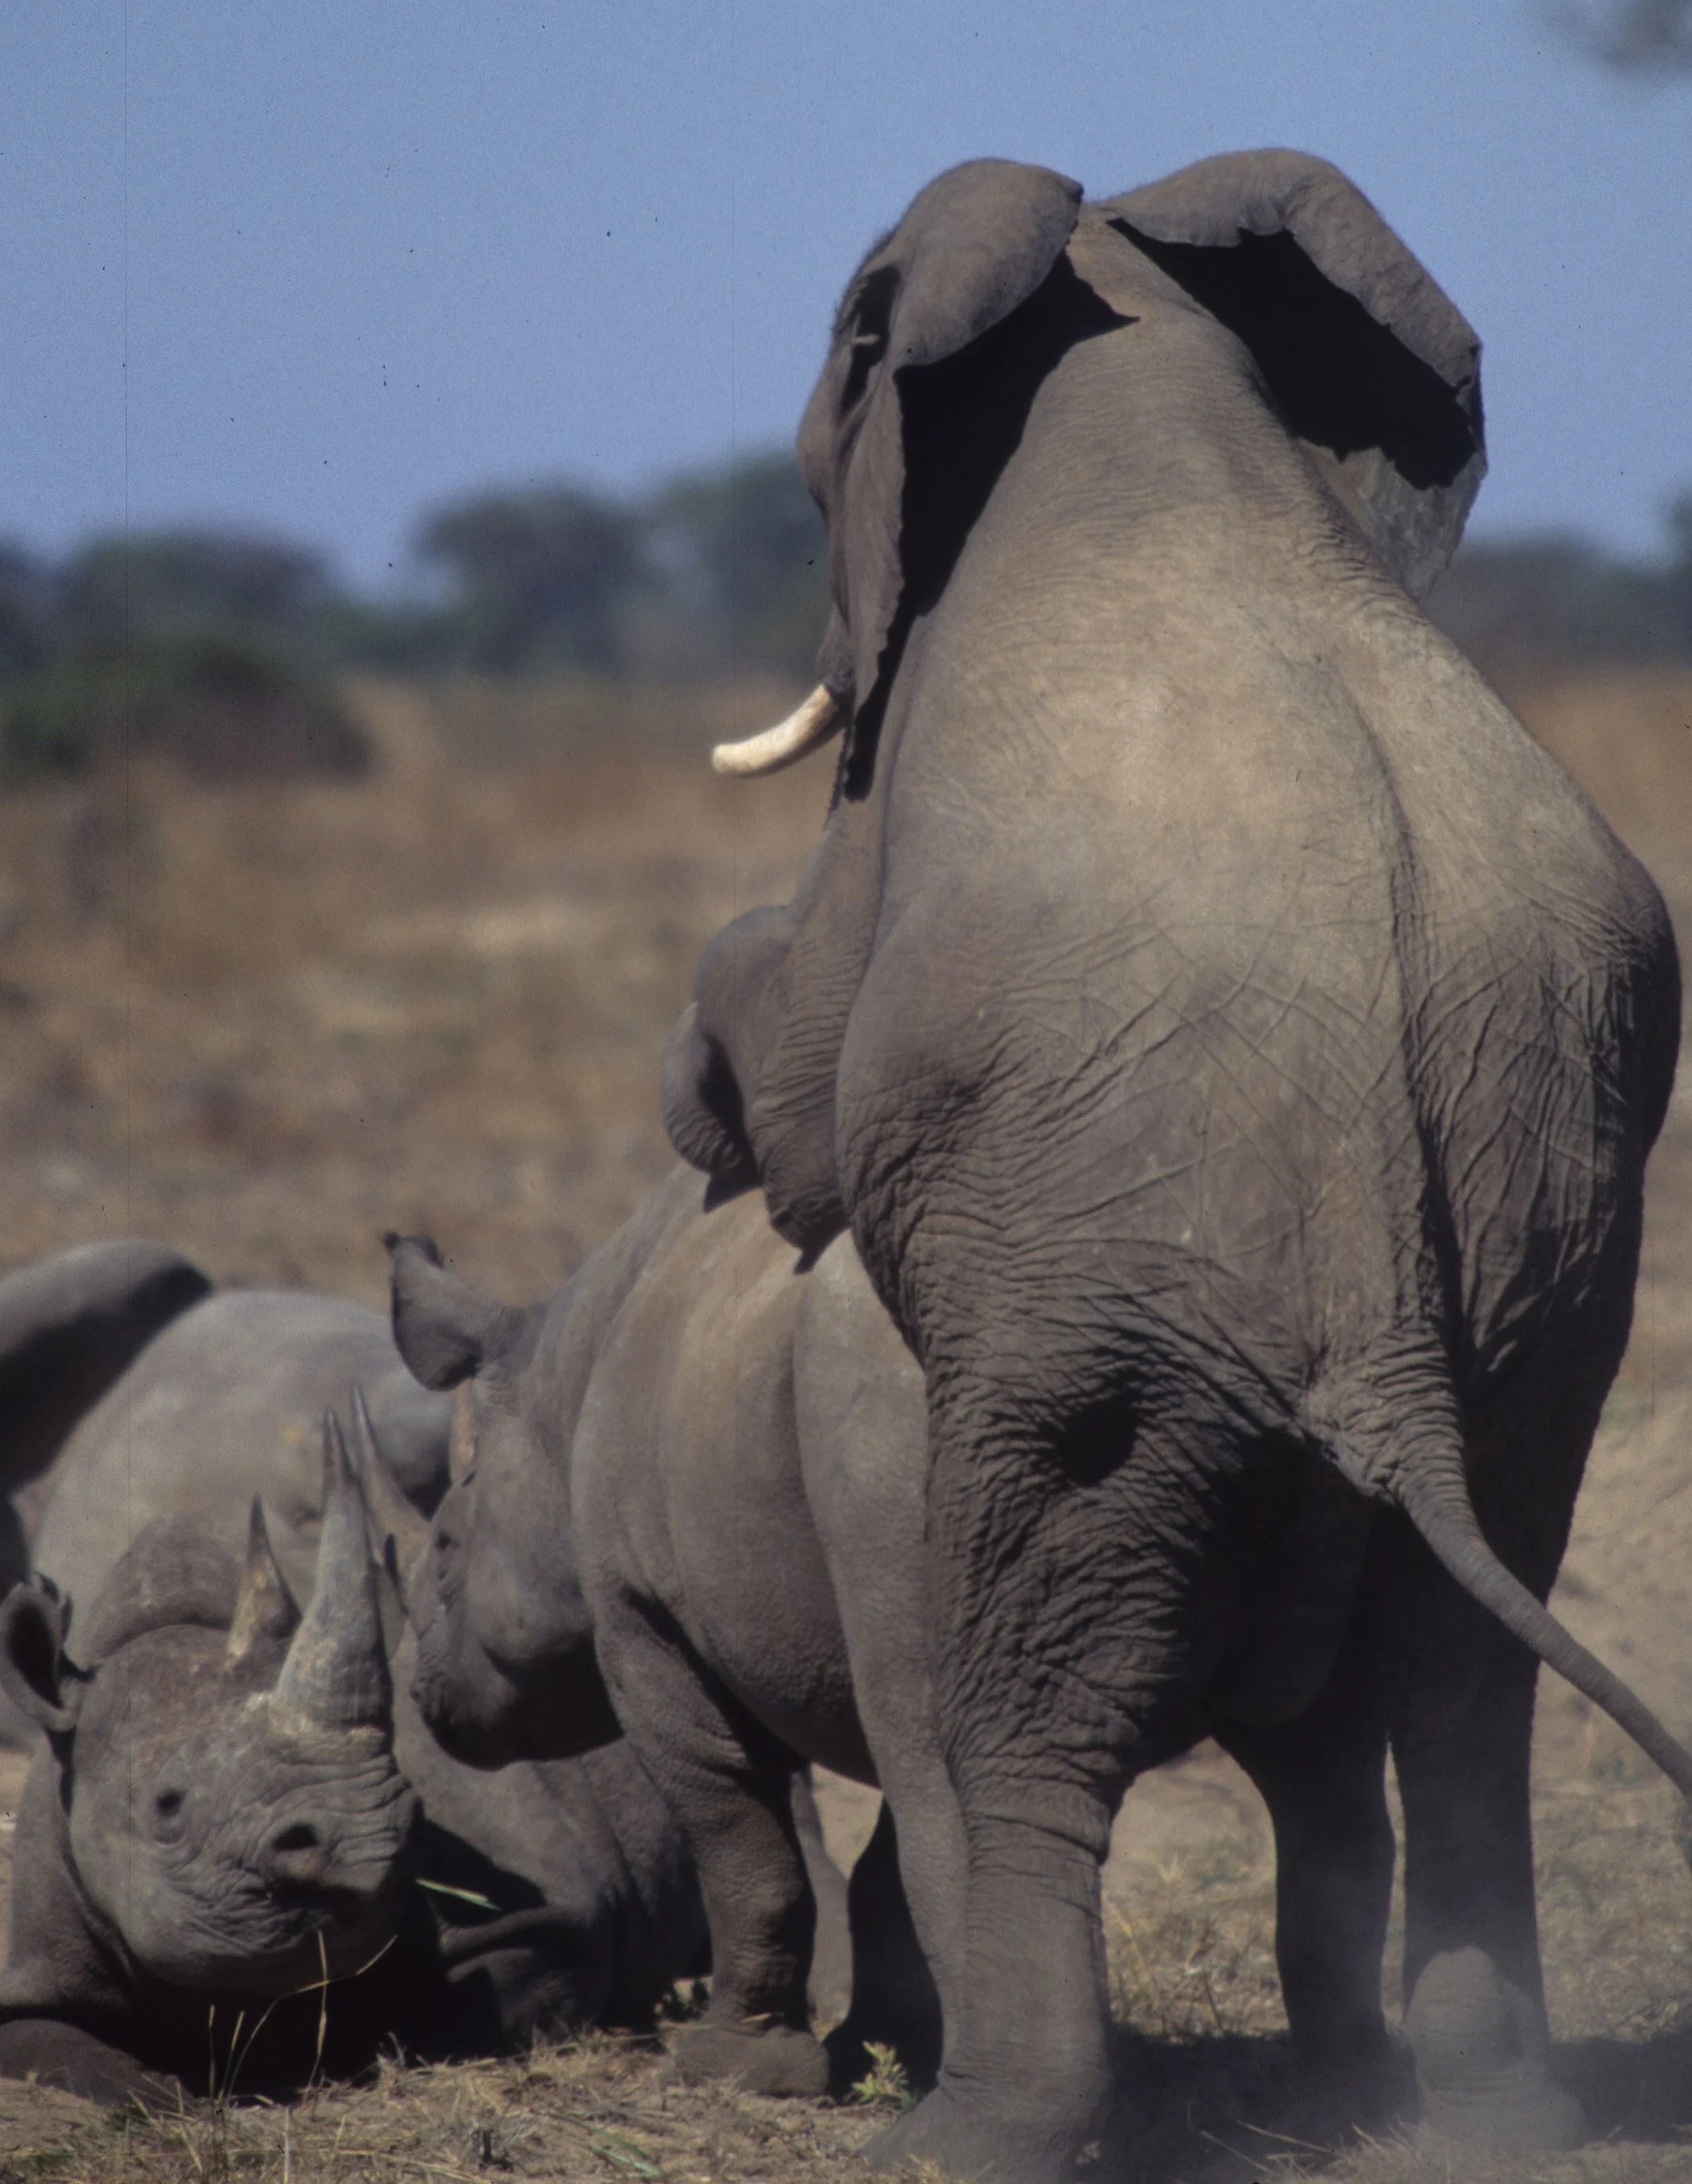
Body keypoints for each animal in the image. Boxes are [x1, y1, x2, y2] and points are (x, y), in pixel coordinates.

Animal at [660, 150, 1688, 2175]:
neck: (1135, 331)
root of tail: (1388, 1337)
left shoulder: (896, 793)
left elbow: (820, 1090)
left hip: (1108, 1338)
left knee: (1027, 1717)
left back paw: (969, 2136)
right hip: (1530, 1318)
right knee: (1463, 1703)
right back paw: (1485, 2123)